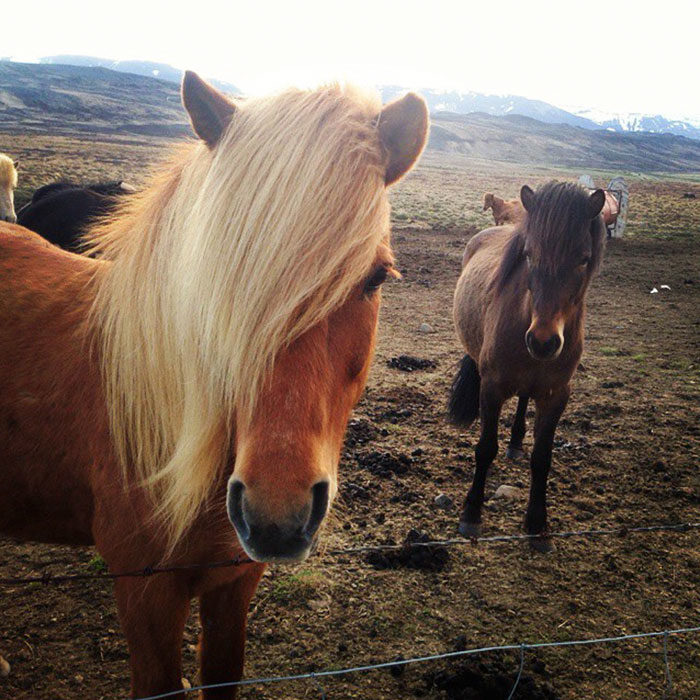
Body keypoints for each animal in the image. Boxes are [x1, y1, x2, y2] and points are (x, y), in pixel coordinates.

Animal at [448, 182, 608, 552]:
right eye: (530, 255)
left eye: (583, 259)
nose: (543, 342)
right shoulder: (491, 388)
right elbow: (485, 449)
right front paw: (471, 513)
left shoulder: (555, 396)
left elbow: (542, 458)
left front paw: (537, 523)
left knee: (523, 399)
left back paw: (517, 441)